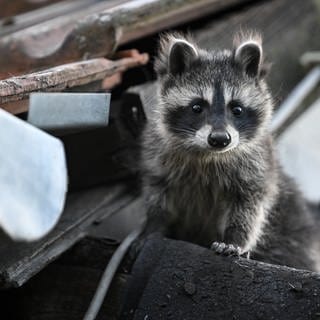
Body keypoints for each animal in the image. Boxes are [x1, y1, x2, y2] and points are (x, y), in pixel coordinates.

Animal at [142, 32, 320, 272]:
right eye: (197, 107)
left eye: (237, 109)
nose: (219, 140)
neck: (209, 155)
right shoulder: (159, 157)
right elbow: (158, 195)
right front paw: (154, 226)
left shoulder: (258, 166)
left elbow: (248, 206)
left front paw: (235, 239)